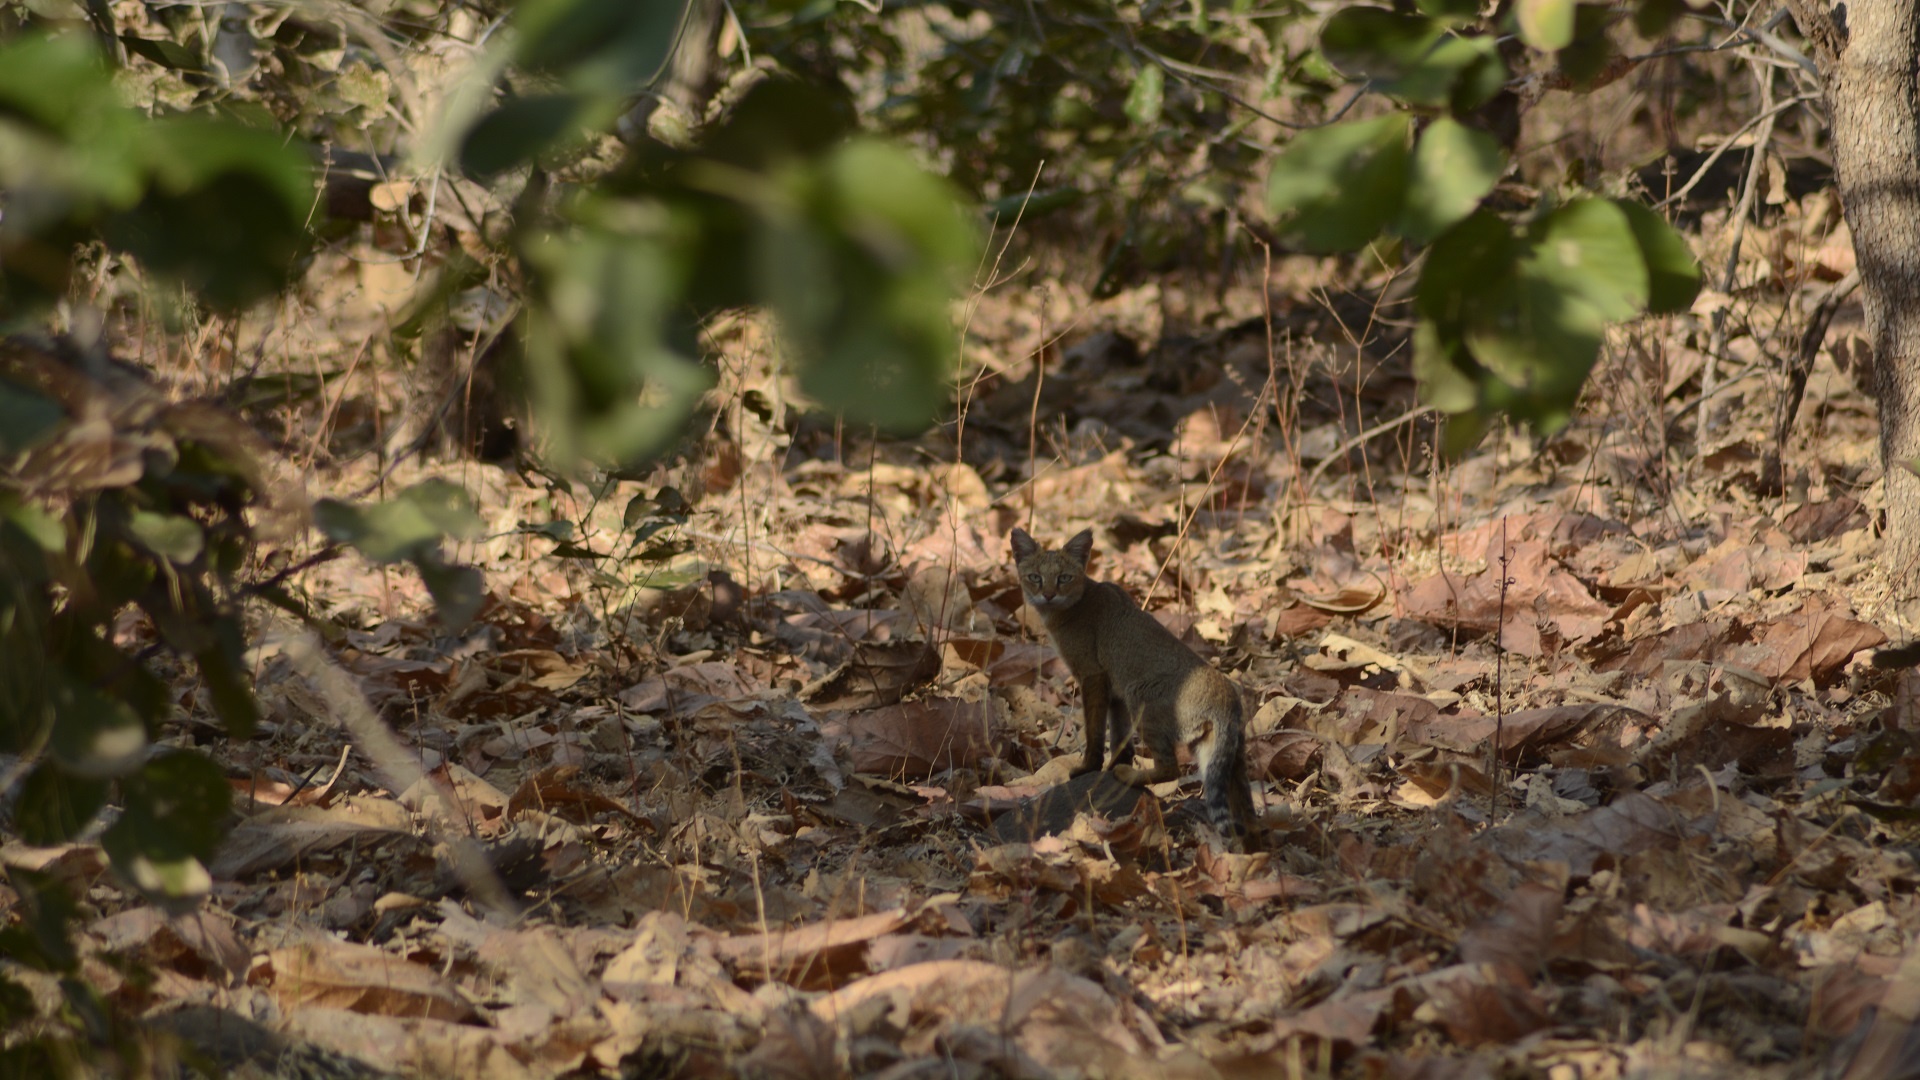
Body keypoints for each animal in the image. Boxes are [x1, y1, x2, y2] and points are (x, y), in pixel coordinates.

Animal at [1006, 526, 1259, 845]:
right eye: (1035, 577)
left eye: (1064, 577)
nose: (1048, 594)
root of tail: (1227, 696)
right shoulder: (1115, 690)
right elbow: (1119, 738)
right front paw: (1113, 764)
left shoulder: (1094, 676)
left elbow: (1095, 732)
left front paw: (1090, 768)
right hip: (1224, 755)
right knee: (1247, 812)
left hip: (1141, 696)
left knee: (1170, 767)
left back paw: (1129, 776)